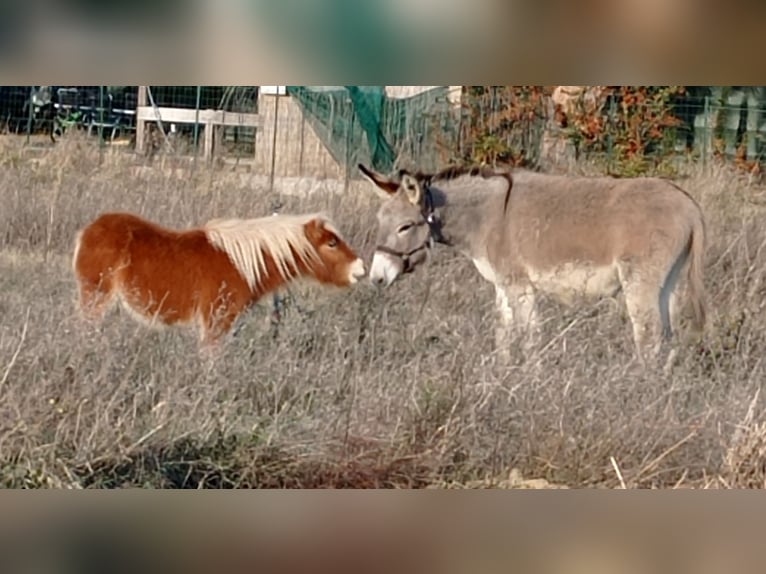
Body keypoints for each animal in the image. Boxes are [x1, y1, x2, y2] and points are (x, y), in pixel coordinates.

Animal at [73, 210, 368, 348]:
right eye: (332, 243)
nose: (361, 269)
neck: (243, 262)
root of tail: (89, 230)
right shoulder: (216, 322)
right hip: (96, 298)